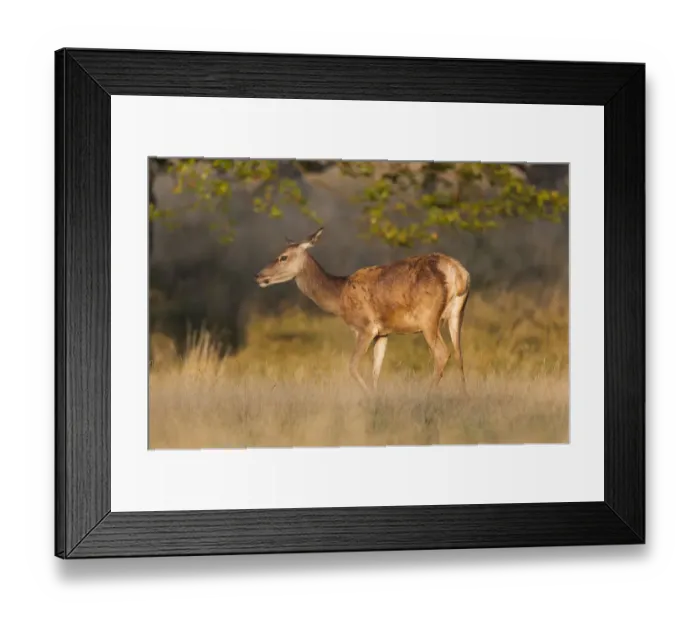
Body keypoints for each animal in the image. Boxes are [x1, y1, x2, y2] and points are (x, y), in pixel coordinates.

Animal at [255, 227, 471, 395]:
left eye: (283, 257)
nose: (259, 275)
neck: (339, 297)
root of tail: (458, 273)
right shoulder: (383, 332)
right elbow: (376, 370)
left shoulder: (365, 327)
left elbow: (352, 366)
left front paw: (368, 395)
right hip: (457, 314)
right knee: (459, 354)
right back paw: (464, 397)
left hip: (428, 317)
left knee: (442, 353)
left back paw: (428, 394)